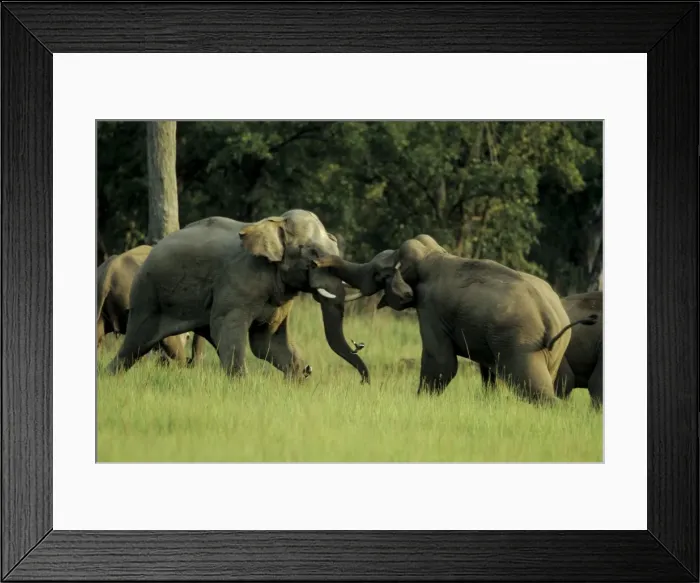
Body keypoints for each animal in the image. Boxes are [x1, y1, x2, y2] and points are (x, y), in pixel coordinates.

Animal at [106, 210, 369, 383]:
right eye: (313, 253)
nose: (310, 369)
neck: (272, 221)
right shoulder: (238, 280)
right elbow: (229, 327)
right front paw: (242, 384)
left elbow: (266, 341)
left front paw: (298, 378)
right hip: (147, 297)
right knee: (136, 343)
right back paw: (108, 378)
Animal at [316, 235, 595, 402]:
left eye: (377, 274)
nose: (317, 259)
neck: (433, 254)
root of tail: (552, 316)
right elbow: (486, 372)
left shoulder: (430, 309)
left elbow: (441, 363)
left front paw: (421, 401)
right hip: (552, 350)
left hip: (522, 345)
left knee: (534, 390)